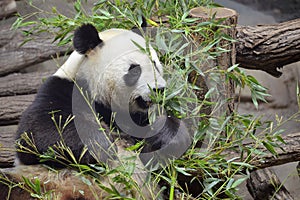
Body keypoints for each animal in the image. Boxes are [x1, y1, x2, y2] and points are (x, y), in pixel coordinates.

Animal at [15, 23, 191, 198]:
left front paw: (167, 135)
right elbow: (38, 132)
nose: (158, 89)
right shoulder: (62, 90)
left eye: (155, 64)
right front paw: (102, 143)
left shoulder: (138, 119)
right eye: (135, 69)